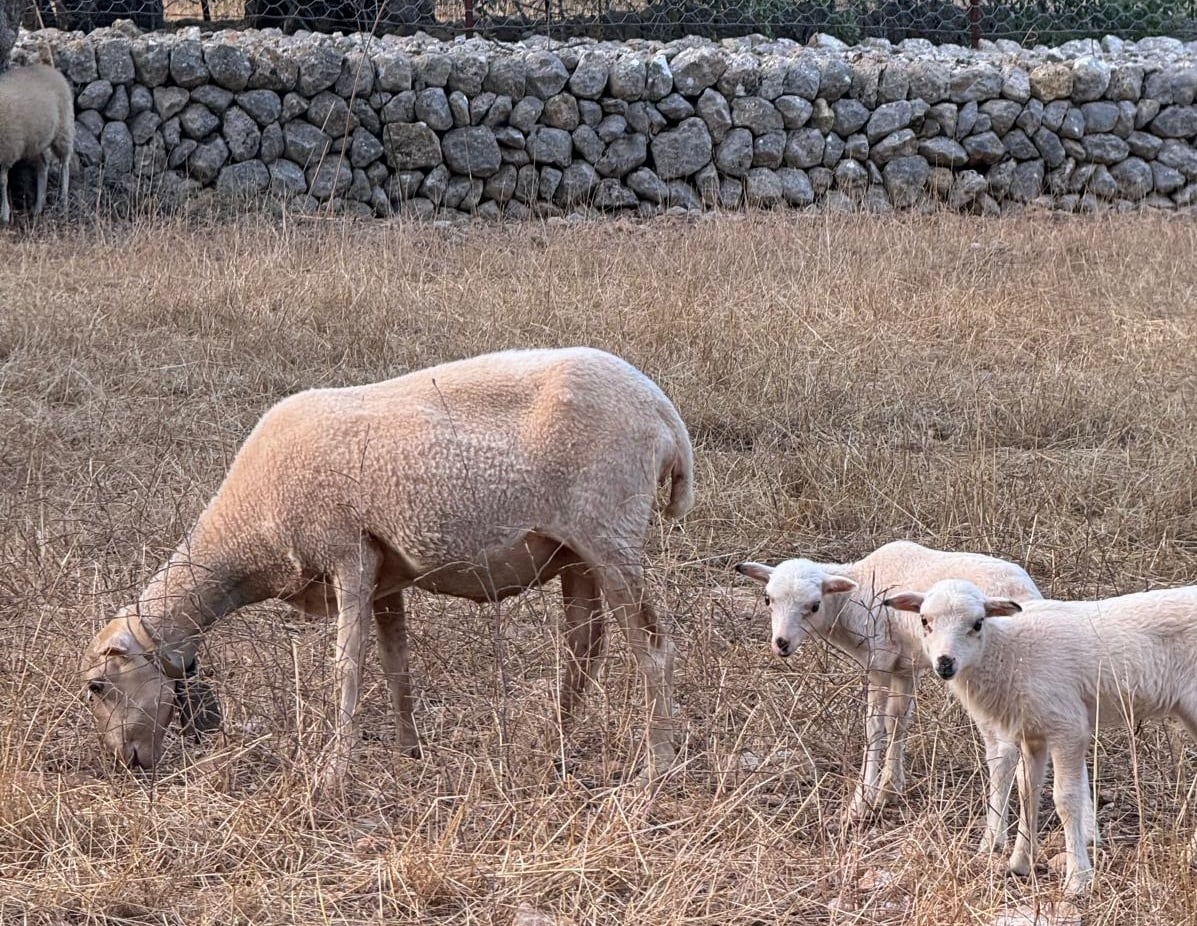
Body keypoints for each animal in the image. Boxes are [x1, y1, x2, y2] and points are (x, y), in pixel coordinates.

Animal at [0, 47, 74, 226]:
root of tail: (47, 67)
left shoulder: (7, 151)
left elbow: (3, 181)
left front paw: (4, 215)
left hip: (64, 128)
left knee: (65, 163)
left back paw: (63, 202)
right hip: (36, 141)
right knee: (43, 166)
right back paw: (38, 206)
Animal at [79, 349, 694, 789]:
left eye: (96, 687)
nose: (126, 765)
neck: (246, 532)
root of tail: (665, 414)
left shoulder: (347, 555)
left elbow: (347, 668)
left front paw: (333, 773)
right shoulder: (383, 576)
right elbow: (396, 664)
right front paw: (408, 751)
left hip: (610, 536)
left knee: (651, 647)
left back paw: (657, 764)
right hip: (575, 552)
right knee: (584, 645)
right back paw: (556, 748)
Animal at [732, 535, 1091, 856]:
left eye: (814, 605)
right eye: (768, 599)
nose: (781, 644)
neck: (853, 596)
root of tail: (1024, 592)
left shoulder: (878, 659)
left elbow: (874, 726)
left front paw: (862, 800)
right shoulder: (905, 668)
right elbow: (899, 721)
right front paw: (890, 788)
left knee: (1003, 753)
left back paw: (996, 838)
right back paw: (1088, 831)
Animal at [890, 583, 1197, 894]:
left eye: (978, 623)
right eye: (924, 621)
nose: (945, 664)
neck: (1008, 653)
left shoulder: (1068, 726)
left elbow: (1066, 799)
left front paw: (1077, 878)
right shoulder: (1032, 733)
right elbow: (1028, 791)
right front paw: (1020, 863)